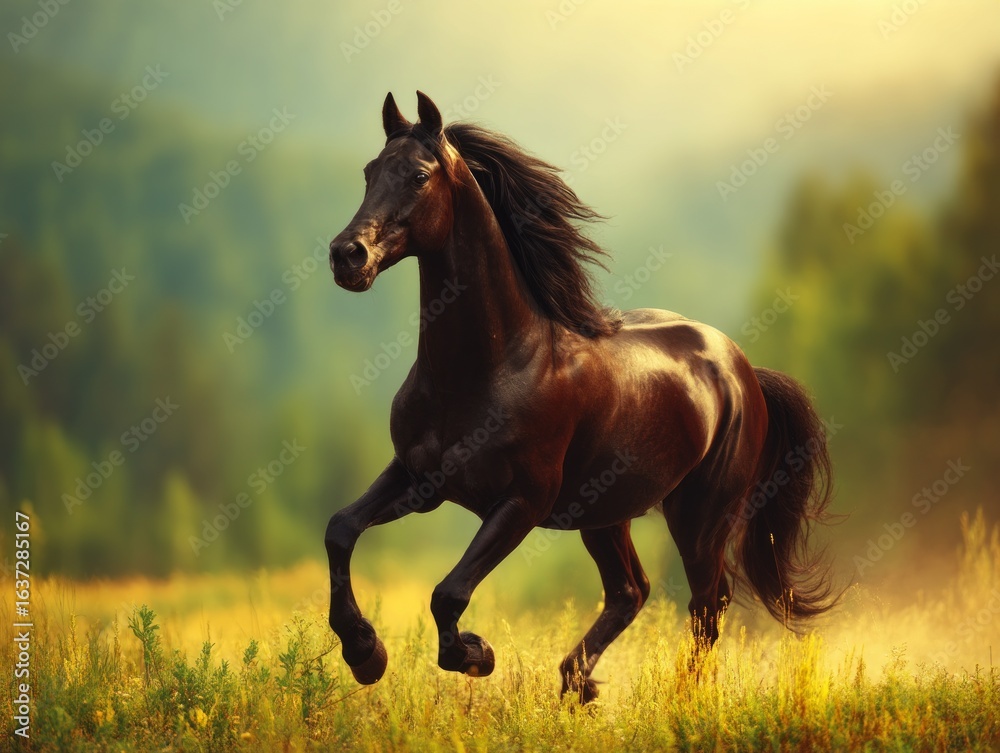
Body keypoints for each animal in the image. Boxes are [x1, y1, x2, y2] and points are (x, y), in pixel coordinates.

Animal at [325, 91, 836, 702]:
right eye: (369, 171)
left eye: (420, 176)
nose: (347, 255)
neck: (487, 369)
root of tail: (744, 370)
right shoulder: (417, 479)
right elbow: (340, 530)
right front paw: (365, 654)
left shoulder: (521, 502)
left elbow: (447, 593)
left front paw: (475, 654)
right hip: (605, 513)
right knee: (632, 591)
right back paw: (578, 683)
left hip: (701, 517)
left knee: (706, 605)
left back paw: (674, 696)